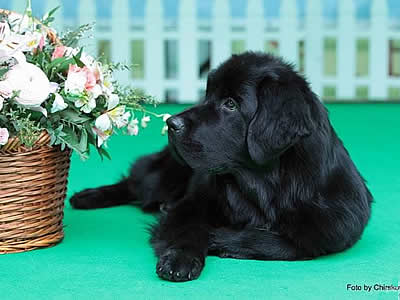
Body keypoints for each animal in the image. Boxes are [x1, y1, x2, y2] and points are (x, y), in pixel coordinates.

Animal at [70, 51, 374, 282]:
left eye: (230, 104)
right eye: (207, 96)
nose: (171, 123)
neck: (265, 185)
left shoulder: (332, 228)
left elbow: (289, 244)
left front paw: (220, 239)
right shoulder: (193, 201)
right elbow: (187, 226)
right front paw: (180, 258)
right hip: (163, 175)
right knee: (134, 183)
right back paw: (86, 197)